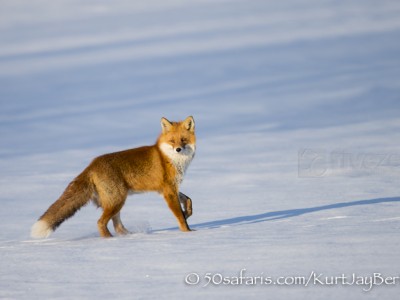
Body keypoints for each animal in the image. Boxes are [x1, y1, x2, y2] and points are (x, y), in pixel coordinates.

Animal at [30, 116, 196, 238]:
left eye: (183, 140)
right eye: (172, 141)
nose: (178, 149)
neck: (171, 159)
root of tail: (92, 164)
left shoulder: (169, 188)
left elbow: (188, 200)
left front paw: (187, 213)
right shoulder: (168, 191)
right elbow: (179, 216)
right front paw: (187, 233)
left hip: (116, 202)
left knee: (118, 226)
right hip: (117, 200)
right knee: (101, 223)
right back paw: (110, 241)